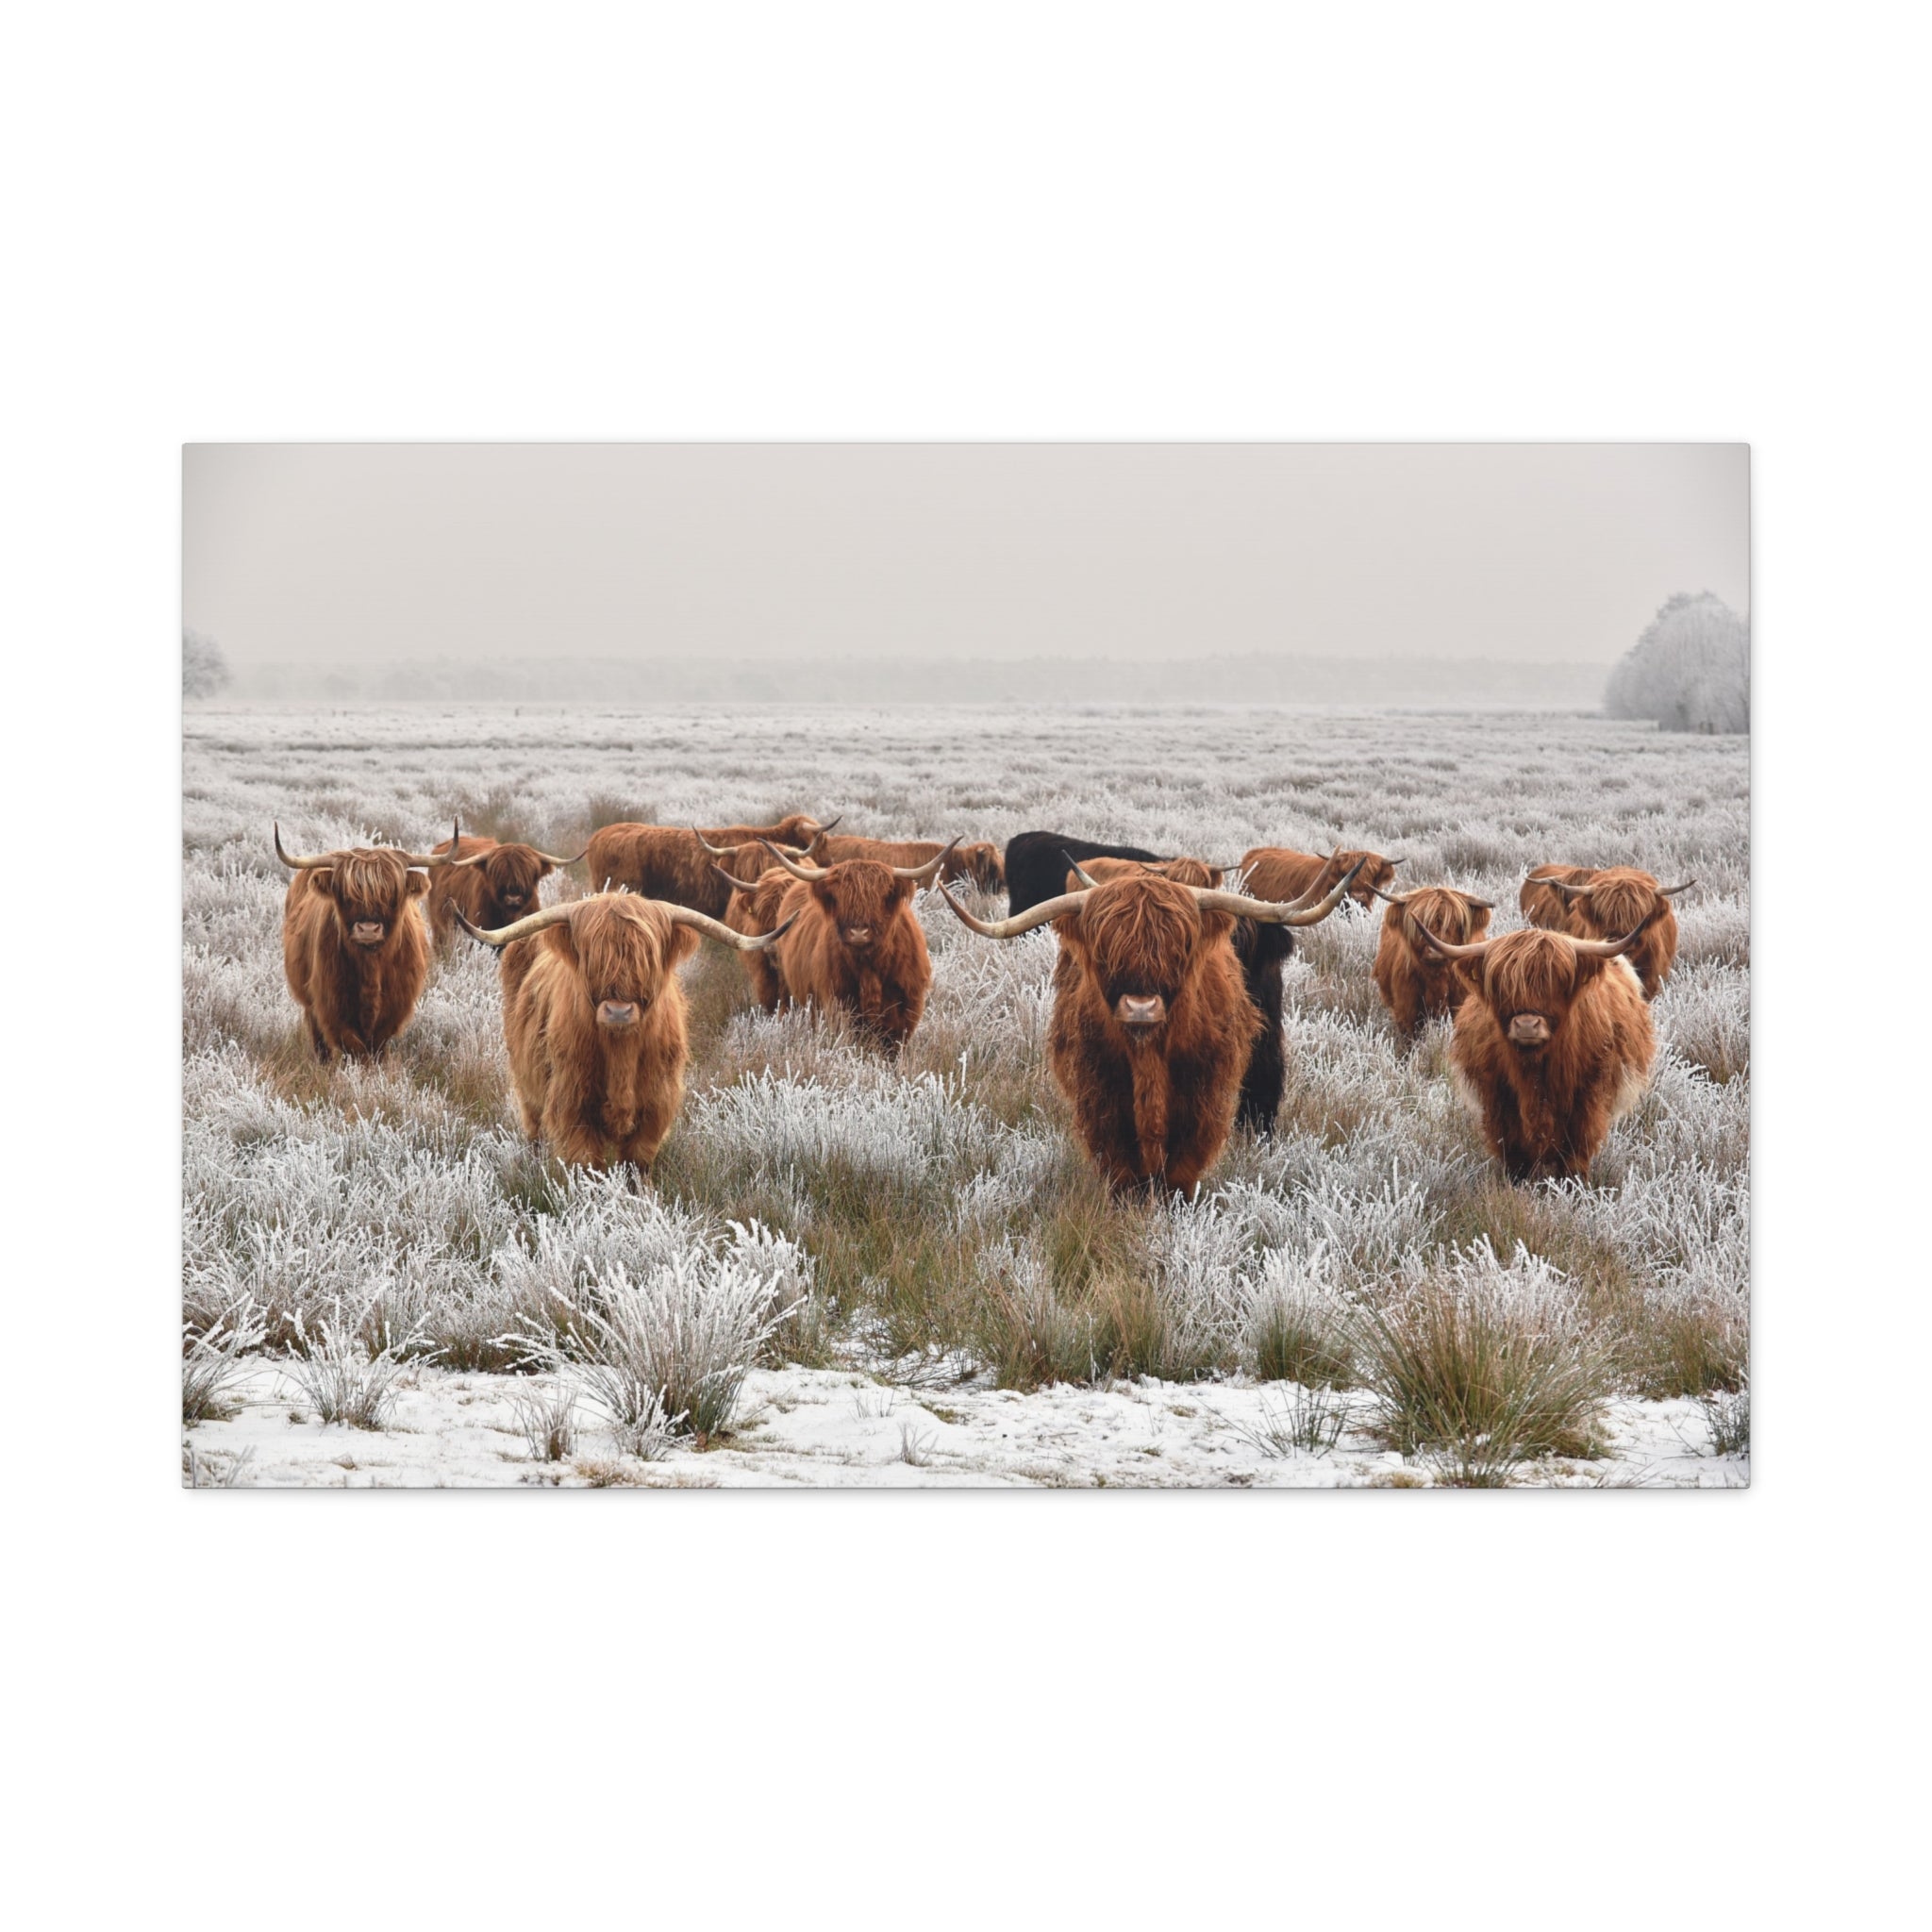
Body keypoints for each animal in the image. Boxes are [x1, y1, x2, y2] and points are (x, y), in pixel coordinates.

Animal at [274, 823, 458, 1059]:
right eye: (345, 894)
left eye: (392, 895)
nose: (368, 929)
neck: (371, 967)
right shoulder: (332, 1006)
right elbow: (355, 1048)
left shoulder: (394, 1011)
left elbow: (375, 1049)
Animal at [454, 892, 794, 1170]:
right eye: (592, 957)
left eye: (647, 957)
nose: (618, 1011)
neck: (621, 1054)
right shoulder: (571, 1104)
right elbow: (587, 1165)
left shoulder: (656, 1105)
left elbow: (637, 1163)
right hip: (528, 1085)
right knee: (534, 1128)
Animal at [749, 838, 960, 1049]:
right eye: (840, 897)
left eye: (881, 897)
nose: (859, 933)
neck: (869, 968)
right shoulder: (838, 1005)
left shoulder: (904, 1012)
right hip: (787, 989)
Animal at [940, 862, 1360, 1195]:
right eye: (1104, 951)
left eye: (1180, 948)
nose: (1141, 1007)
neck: (1149, 1056)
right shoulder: (1101, 1097)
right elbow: (1122, 1168)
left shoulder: (1202, 1098)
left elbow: (1181, 1167)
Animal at [1410, 915, 1661, 1182]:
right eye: (1502, 985)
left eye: (1558, 982)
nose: (1526, 1025)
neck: (1536, 1071)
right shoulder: (1498, 1100)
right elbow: (1515, 1155)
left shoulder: (1588, 1100)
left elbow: (1575, 1154)